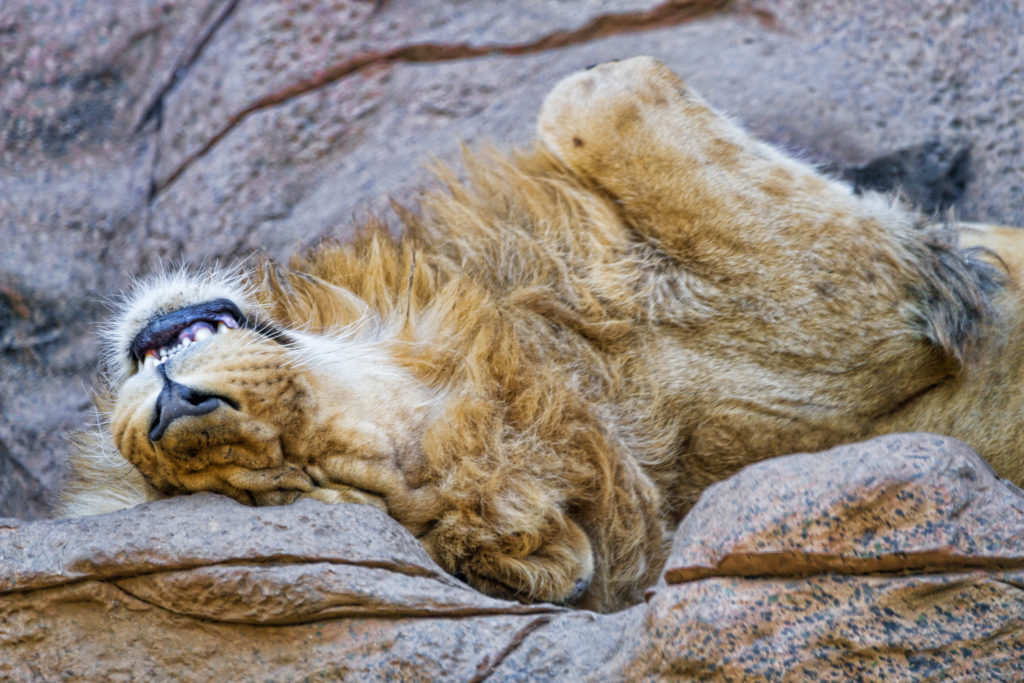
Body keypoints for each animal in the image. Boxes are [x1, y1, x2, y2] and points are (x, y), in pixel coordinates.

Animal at [58, 60, 1024, 614]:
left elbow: (587, 99)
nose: (179, 407)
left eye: (311, 458)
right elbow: (603, 94)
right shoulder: (870, 308)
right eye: (281, 488)